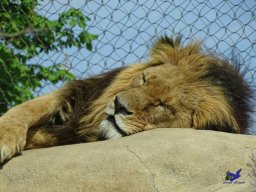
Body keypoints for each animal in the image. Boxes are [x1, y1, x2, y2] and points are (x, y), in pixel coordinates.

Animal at [0, 35, 252, 162]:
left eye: (162, 105)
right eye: (143, 80)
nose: (119, 105)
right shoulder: (76, 94)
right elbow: (24, 110)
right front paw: (5, 138)